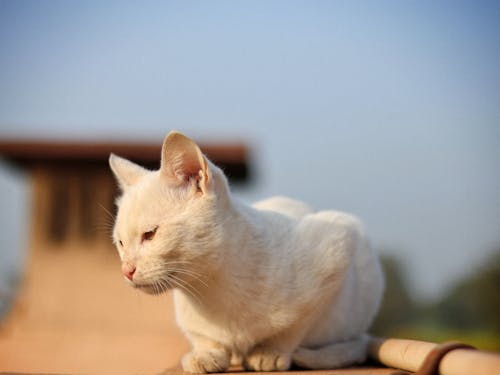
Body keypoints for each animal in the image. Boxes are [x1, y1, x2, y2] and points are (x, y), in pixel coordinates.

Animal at [108, 131, 382, 374]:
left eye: (150, 234)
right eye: (120, 242)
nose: (126, 270)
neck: (214, 289)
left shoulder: (339, 241)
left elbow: (294, 328)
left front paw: (269, 352)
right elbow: (203, 336)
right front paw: (207, 354)